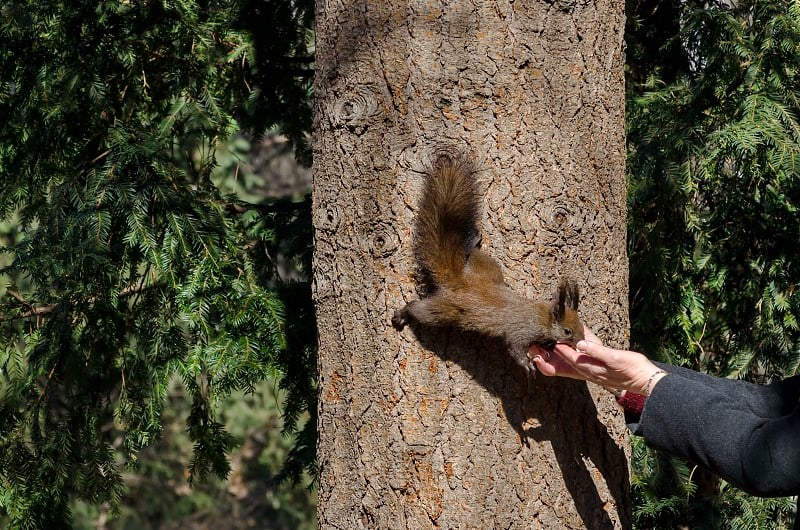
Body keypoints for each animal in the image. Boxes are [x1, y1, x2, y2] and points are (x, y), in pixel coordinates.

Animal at [392, 155, 584, 374]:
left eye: (581, 326)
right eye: (567, 331)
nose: (580, 342)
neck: (543, 317)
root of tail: (459, 281)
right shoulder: (522, 331)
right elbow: (515, 346)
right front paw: (527, 364)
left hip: (487, 267)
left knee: (471, 252)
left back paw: (473, 241)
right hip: (443, 310)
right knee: (420, 310)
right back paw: (403, 313)